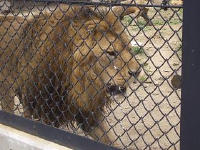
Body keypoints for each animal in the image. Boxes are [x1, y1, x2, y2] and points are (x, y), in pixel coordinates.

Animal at [0, 2, 141, 147]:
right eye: (111, 52)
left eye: (129, 48)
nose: (136, 72)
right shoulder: (40, 110)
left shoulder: (88, 114)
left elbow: (110, 141)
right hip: (6, 91)